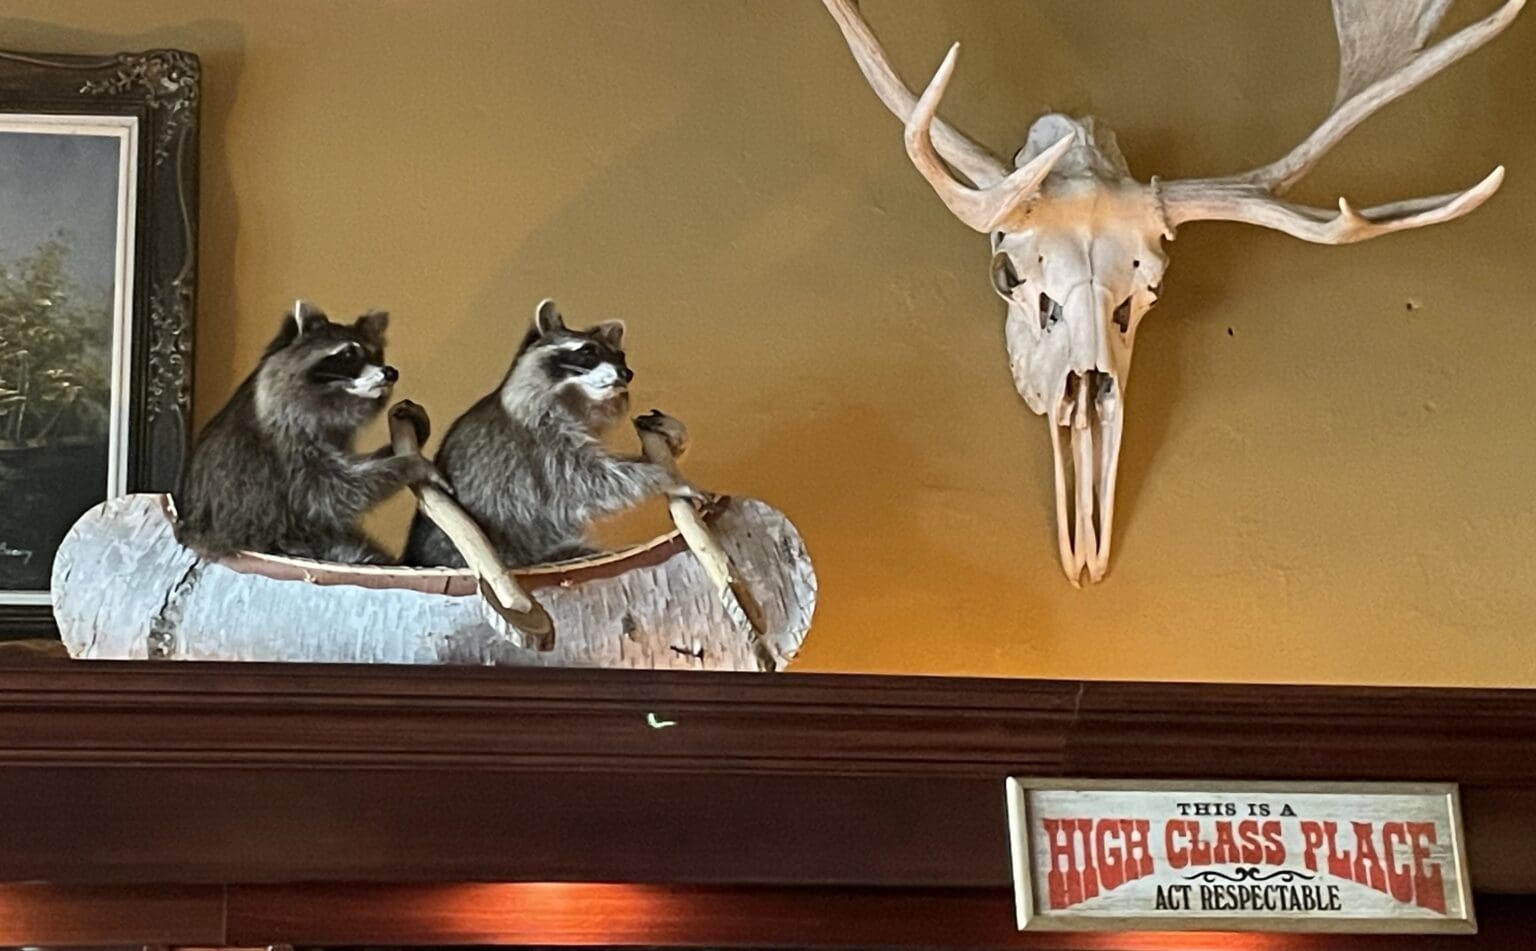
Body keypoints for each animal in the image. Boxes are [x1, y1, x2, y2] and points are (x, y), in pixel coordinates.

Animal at [175, 301, 439, 562]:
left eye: (376, 354)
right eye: (348, 354)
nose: (391, 372)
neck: (334, 398)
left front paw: (399, 447)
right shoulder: (287, 442)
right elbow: (331, 492)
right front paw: (408, 464)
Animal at [408, 299, 691, 565]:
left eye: (620, 356)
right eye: (588, 351)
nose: (627, 373)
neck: (576, 399)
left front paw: (670, 444)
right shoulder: (540, 442)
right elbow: (587, 480)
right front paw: (661, 477)